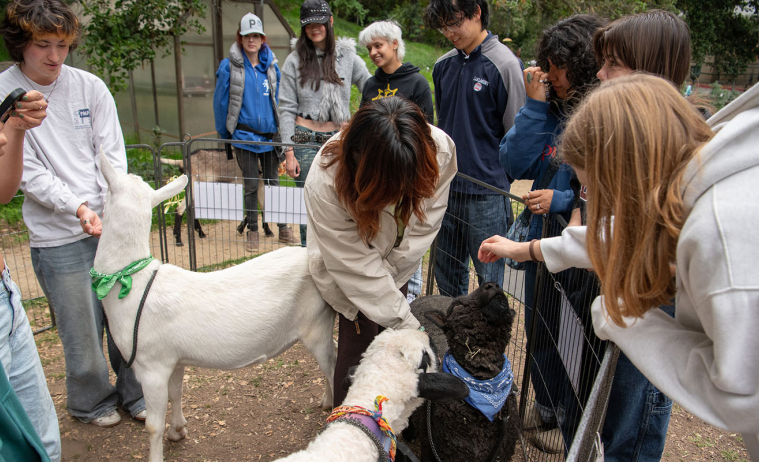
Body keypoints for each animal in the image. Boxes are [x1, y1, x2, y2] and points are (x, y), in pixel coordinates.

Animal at [94, 153, 336, 462]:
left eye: (104, 200)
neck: (131, 281)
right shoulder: (173, 359)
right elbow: (176, 394)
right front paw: (178, 431)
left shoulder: (150, 365)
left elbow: (152, 425)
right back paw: (326, 401)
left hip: (316, 324)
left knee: (332, 362)